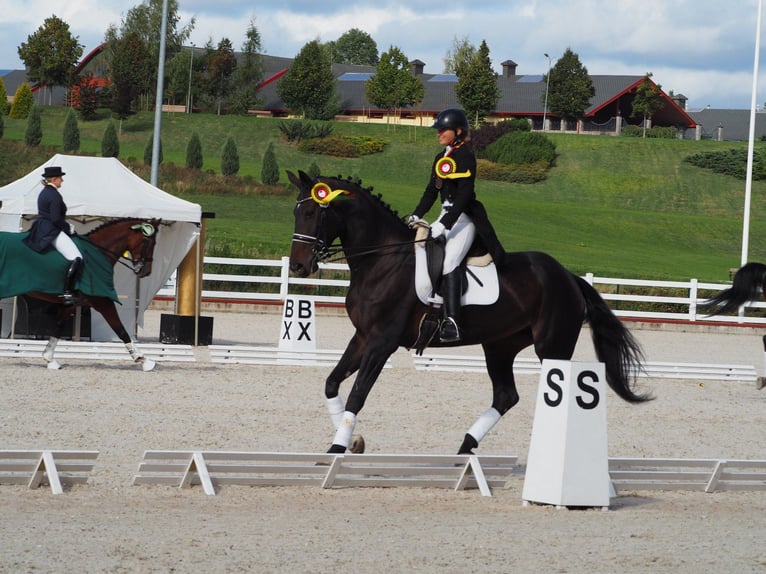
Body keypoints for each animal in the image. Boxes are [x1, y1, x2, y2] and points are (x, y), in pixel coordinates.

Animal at [9, 218, 162, 372]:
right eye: (152, 242)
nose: (146, 272)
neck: (99, 253)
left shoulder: (70, 304)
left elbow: (58, 327)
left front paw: (50, 359)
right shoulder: (103, 302)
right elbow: (121, 330)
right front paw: (143, 360)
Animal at [288, 171, 656, 454]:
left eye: (313, 214)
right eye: (296, 212)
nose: (298, 266)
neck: (383, 260)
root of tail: (568, 276)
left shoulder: (382, 342)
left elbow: (357, 394)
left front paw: (338, 448)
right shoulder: (363, 336)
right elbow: (332, 383)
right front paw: (352, 442)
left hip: (552, 346)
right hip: (500, 346)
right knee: (506, 396)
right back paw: (465, 448)